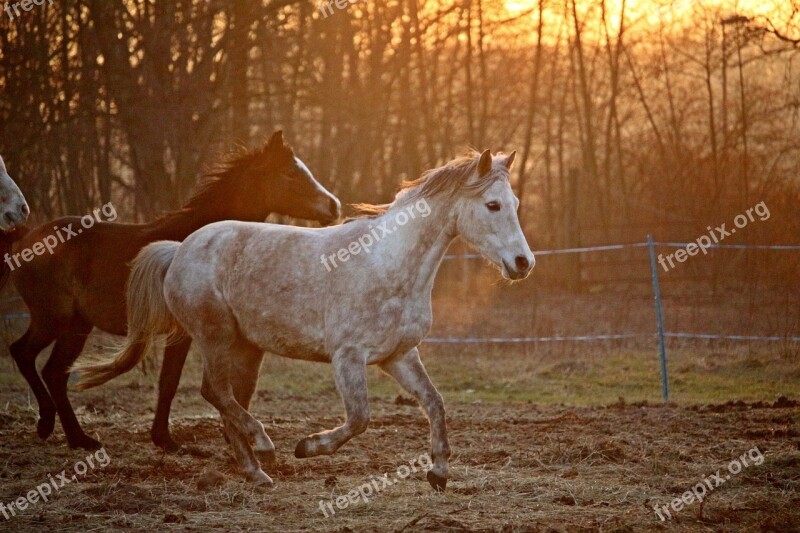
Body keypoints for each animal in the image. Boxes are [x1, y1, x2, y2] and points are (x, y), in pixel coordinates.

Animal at [0, 131, 340, 450]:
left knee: (54, 372)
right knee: (26, 355)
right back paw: (50, 425)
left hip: (76, 325)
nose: (334, 206)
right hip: (52, 320)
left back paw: (78, 438)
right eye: (291, 173)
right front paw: (165, 439)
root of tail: (26, 237)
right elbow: (171, 381)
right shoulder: (182, 333)